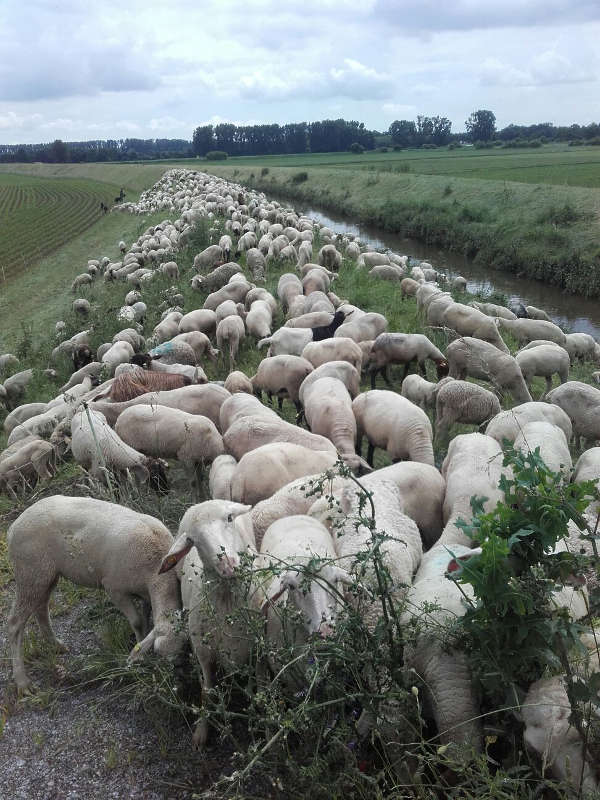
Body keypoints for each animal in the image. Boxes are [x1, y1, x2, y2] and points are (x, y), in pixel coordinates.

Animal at [7, 496, 185, 692]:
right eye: (160, 651)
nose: (178, 680)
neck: (157, 572)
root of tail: (14, 526)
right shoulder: (114, 588)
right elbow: (137, 622)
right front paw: (140, 653)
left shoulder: (146, 593)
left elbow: (146, 618)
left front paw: (142, 643)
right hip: (29, 571)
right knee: (15, 624)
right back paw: (22, 682)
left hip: (46, 574)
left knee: (41, 606)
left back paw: (55, 644)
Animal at [157, 500, 255, 752]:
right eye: (193, 540)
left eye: (229, 518)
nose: (227, 565)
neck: (227, 604)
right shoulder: (204, 654)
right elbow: (207, 693)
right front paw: (202, 731)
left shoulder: (256, 655)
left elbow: (256, 691)